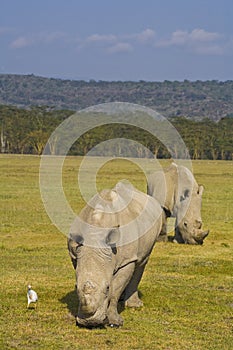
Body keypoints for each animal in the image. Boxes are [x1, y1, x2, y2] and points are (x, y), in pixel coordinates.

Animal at [67, 180, 163, 328]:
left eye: (107, 288)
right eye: (76, 287)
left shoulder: (127, 260)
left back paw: (134, 305)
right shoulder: (76, 253)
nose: (90, 322)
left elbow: (114, 290)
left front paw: (114, 323)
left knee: (141, 262)